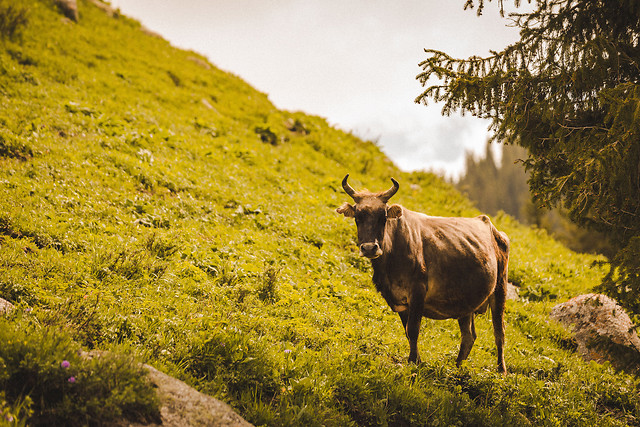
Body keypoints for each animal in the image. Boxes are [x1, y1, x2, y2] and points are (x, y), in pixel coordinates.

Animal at [336, 176, 510, 372]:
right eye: (358, 218)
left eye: (383, 217)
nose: (369, 248)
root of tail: (487, 223)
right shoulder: (399, 300)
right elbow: (407, 331)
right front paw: (417, 361)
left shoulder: (417, 292)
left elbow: (413, 329)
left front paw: (413, 362)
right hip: (465, 301)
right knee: (469, 336)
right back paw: (456, 368)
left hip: (500, 289)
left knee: (499, 332)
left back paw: (501, 371)